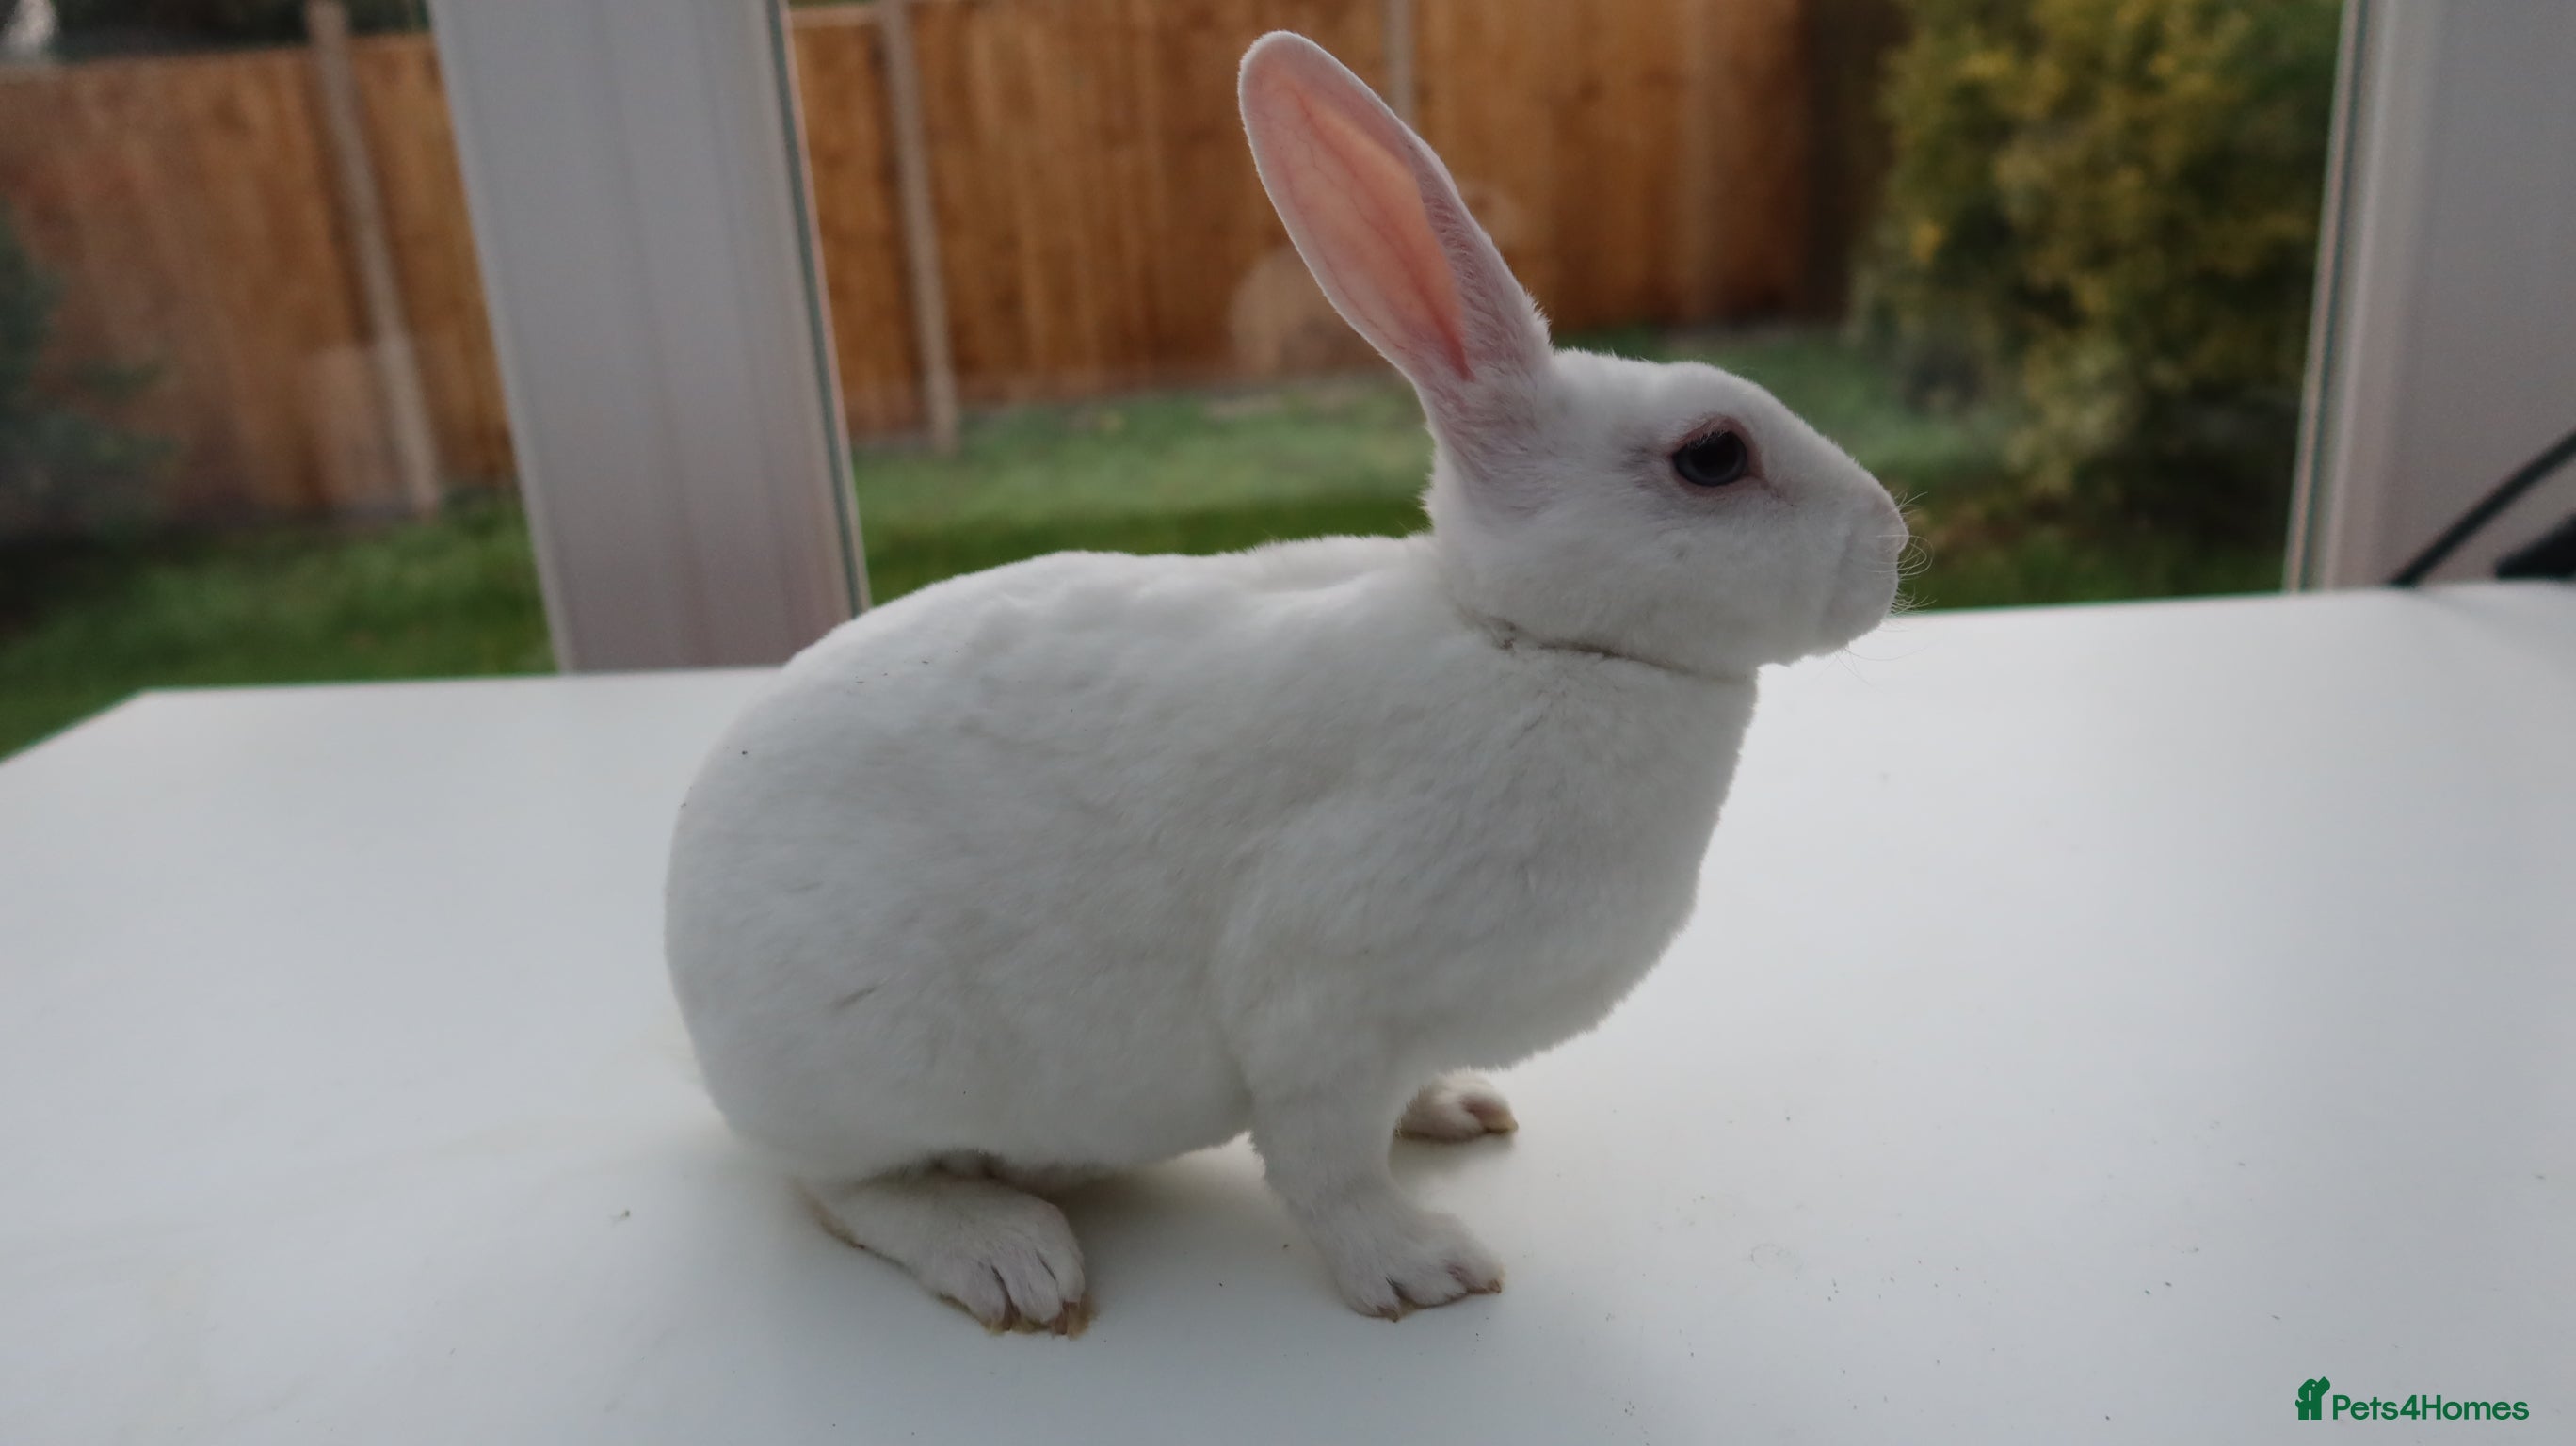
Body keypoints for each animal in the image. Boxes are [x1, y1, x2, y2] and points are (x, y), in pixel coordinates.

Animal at [665, 31, 1905, 1333]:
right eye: (1713, 457)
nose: (1891, 544)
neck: (1522, 638)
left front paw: (1455, 1108)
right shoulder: (1322, 1004)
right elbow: (1326, 1166)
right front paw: (1422, 1270)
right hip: (867, 1073)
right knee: (842, 1189)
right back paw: (1011, 1257)